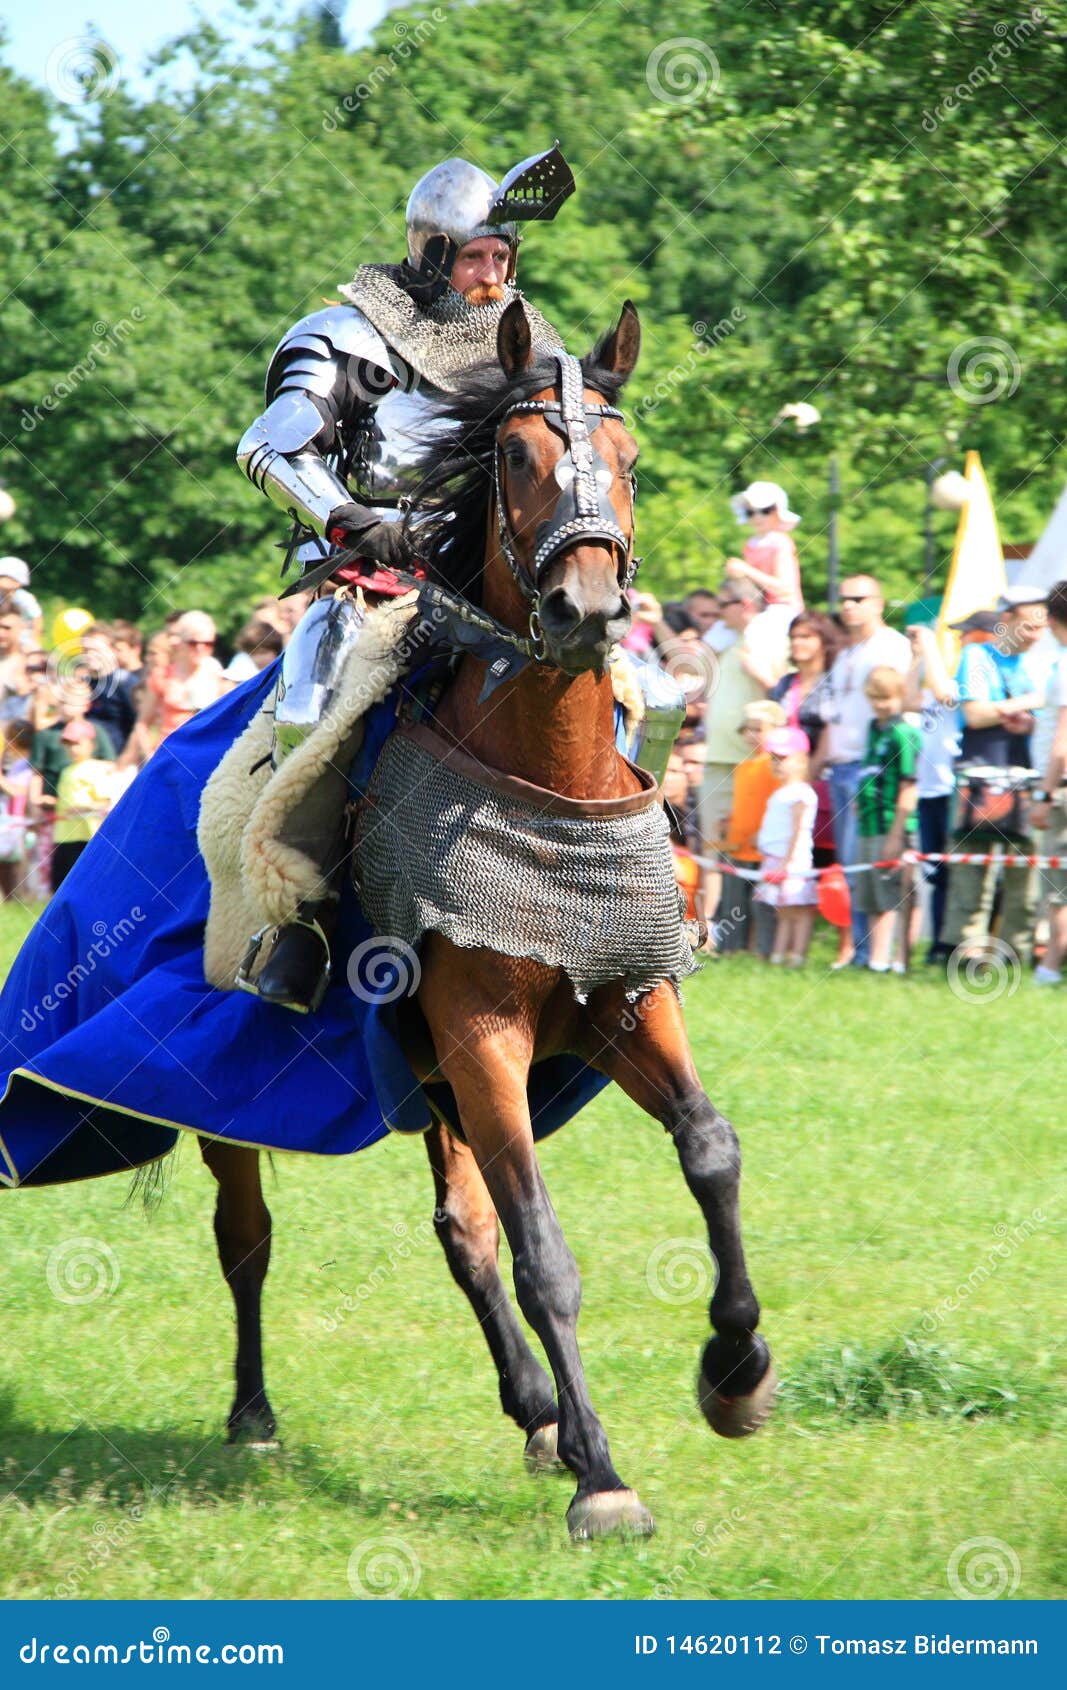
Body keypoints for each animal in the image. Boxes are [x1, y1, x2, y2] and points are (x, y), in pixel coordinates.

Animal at [200, 297, 771, 1541]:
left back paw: (535, 1413)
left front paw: (733, 1371)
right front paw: (606, 1479)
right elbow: (541, 1249)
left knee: (460, 1229)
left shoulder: (619, 996)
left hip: (432, 1081)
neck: (545, 771)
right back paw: (253, 1409)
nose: (587, 608)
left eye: (627, 457)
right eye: (511, 456)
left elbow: (708, 1149)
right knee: (246, 1233)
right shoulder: (483, 1036)